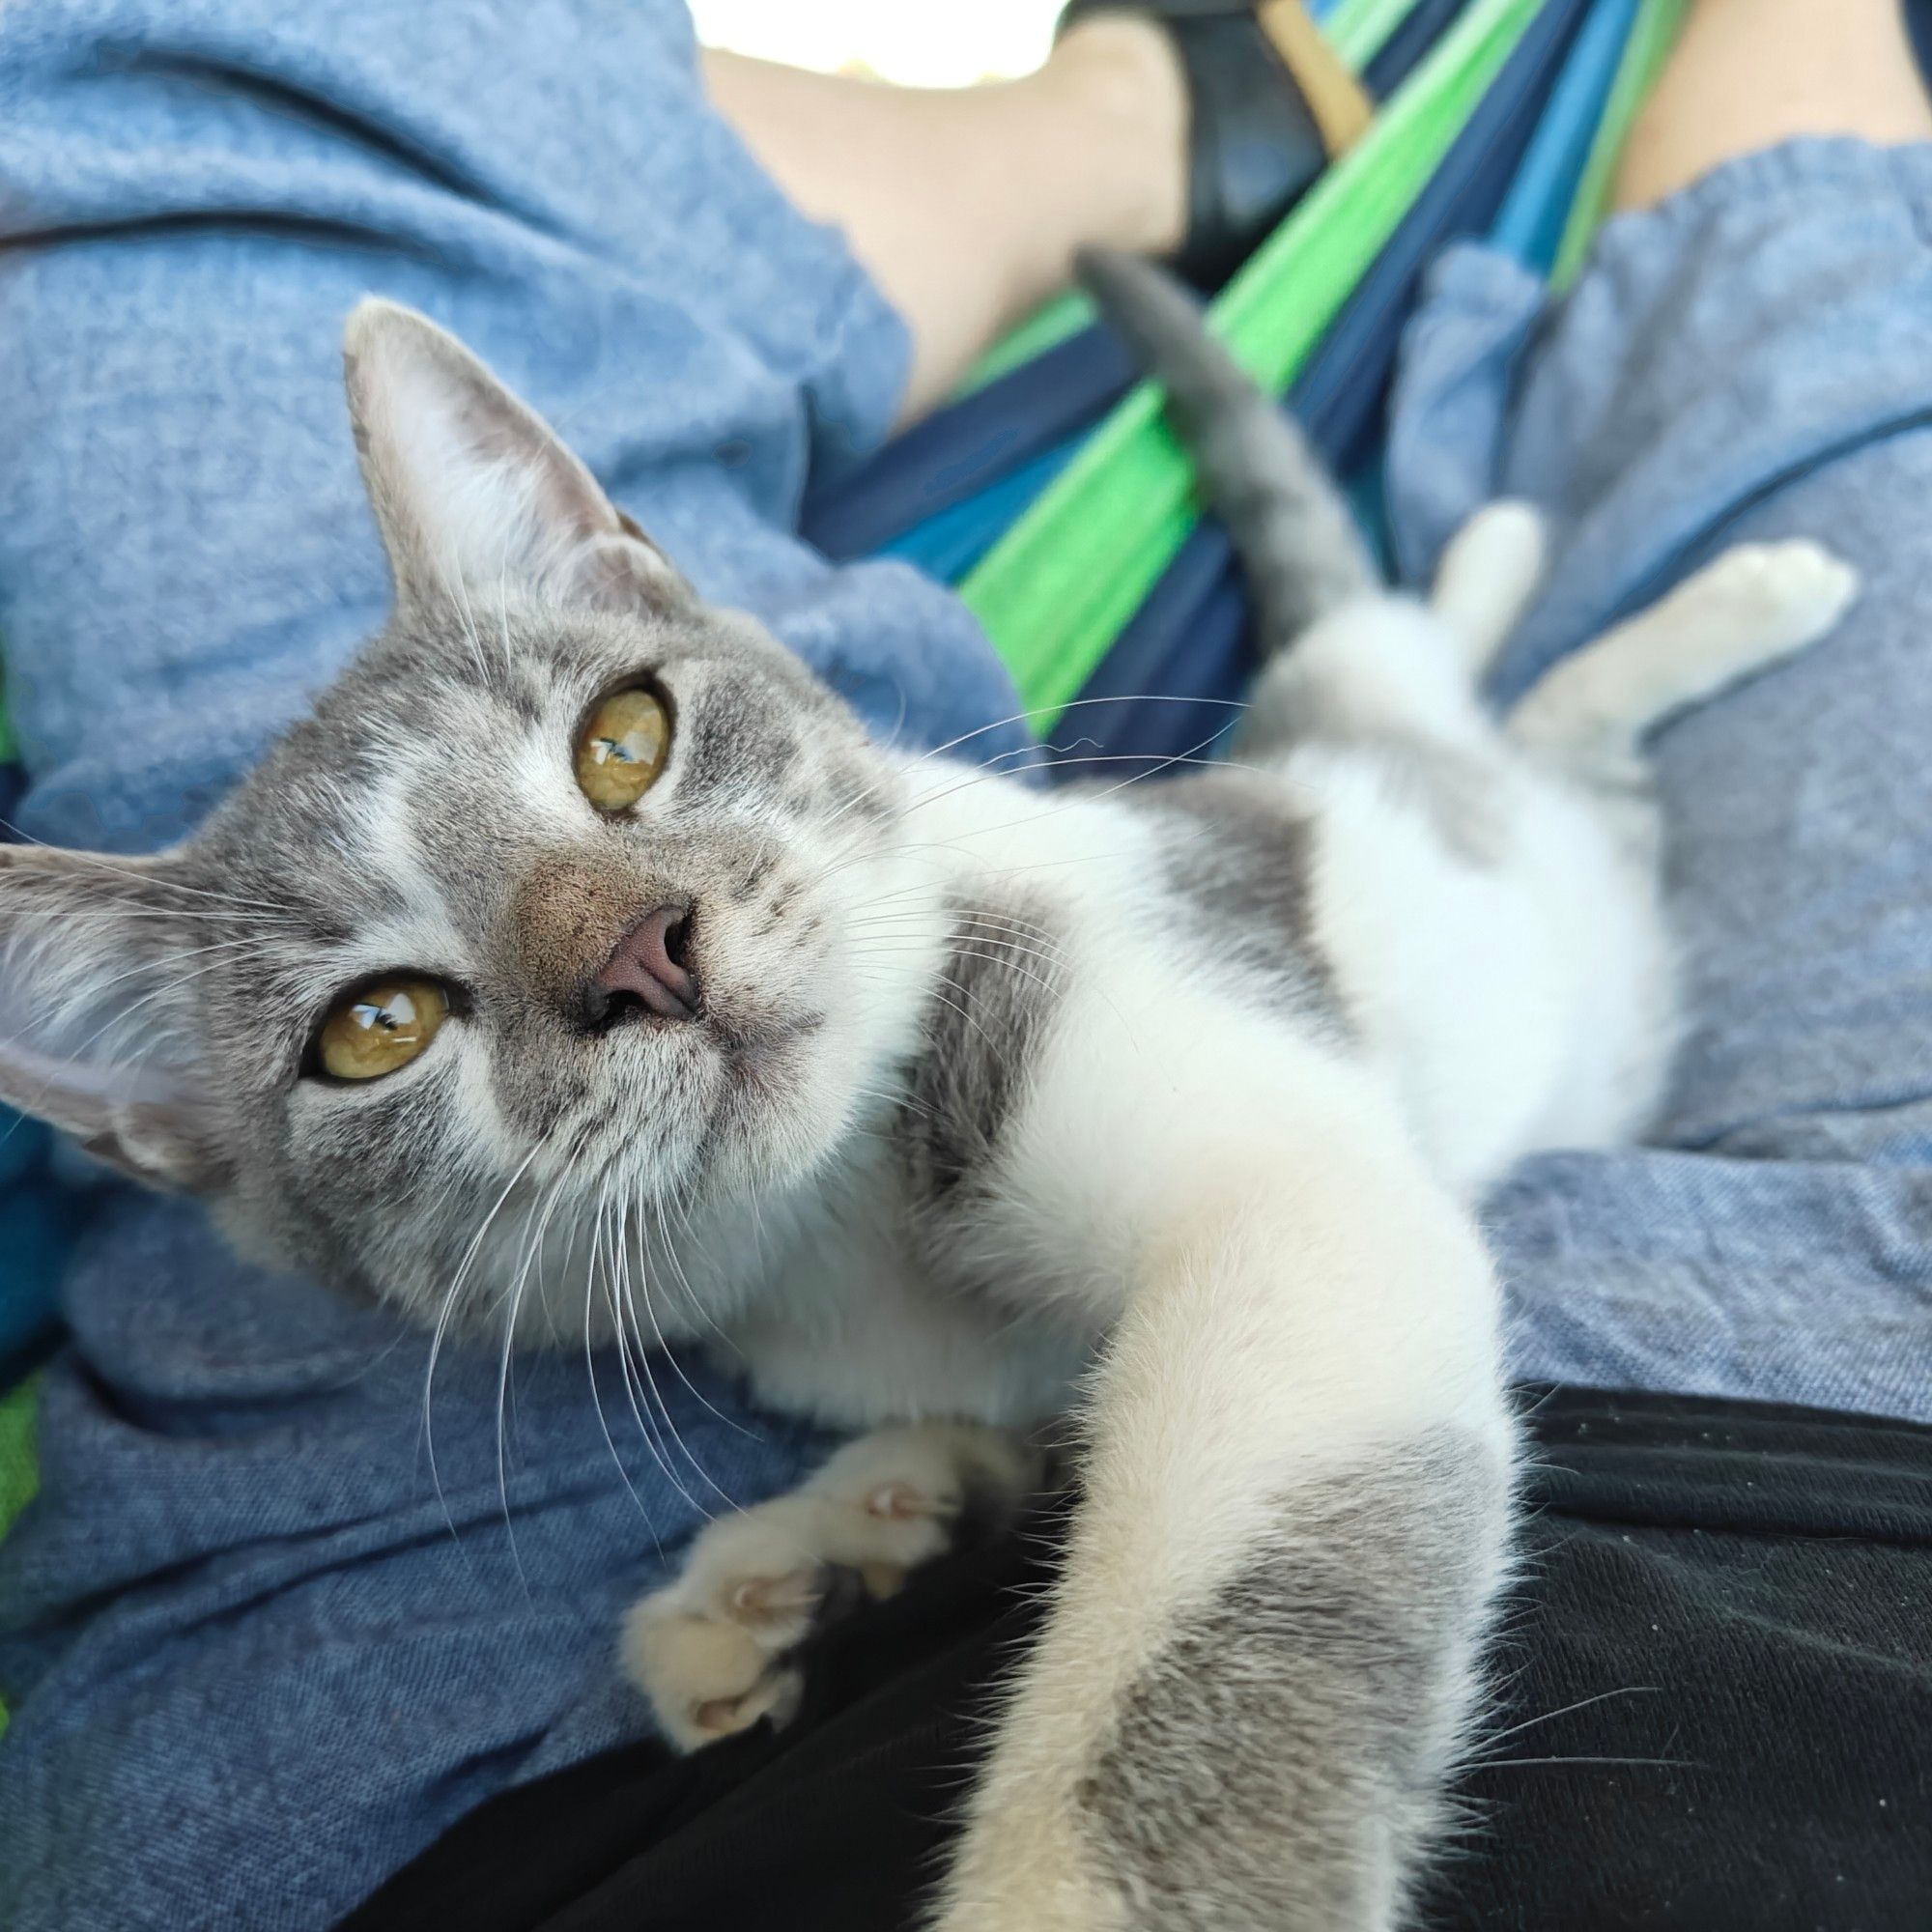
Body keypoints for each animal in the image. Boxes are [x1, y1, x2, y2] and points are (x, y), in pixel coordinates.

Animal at [0, 249, 1855, 1924]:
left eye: (624, 739)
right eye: (375, 1026)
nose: (643, 955)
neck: (845, 1225)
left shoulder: (1270, 1167)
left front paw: (1086, 1876)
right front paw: (839, 1542)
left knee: (1430, 670)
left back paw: (1658, 583)